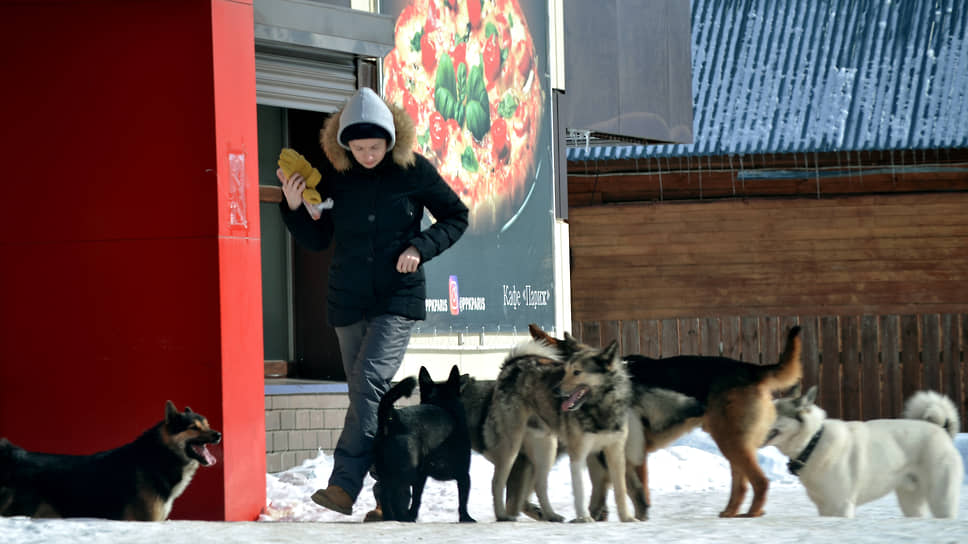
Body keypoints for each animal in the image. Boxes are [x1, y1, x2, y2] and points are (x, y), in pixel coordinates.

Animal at [372, 366, 474, 524]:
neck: (442, 403)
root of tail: (393, 418)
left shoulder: (421, 476)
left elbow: (417, 498)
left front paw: (413, 514)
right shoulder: (464, 474)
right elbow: (463, 500)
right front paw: (466, 518)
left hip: (387, 471)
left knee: (384, 494)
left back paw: (392, 518)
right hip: (406, 472)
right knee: (395, 496)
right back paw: (402, 517)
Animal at [528, 324, 800, 520]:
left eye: (571, 372)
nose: (554, 391)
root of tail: (753, 369)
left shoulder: (630, 455)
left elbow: (635, 492)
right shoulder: (609, 455)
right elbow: (608, 489)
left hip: (732, 442)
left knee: (760, 481)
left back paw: (752, 513)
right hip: (731, 441)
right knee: (742, 484)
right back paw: (731, 512)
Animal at [764, 382, 960, 520]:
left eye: (774, 412)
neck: (813, 441)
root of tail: (942, 429)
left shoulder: (841, 506)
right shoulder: (825, 508)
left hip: (941, 500)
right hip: (911, 501)